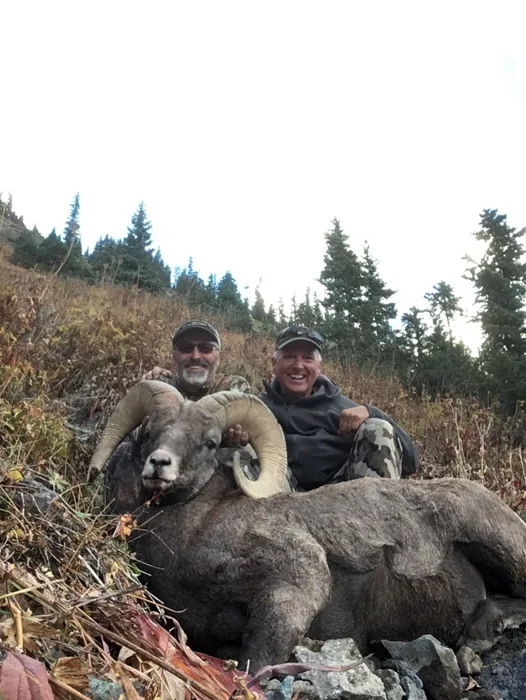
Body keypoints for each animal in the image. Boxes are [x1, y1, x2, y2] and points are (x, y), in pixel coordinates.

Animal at [89, 379, 526, 672]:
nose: (159, 465)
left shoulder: (295, 581)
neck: (193, 531)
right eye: (149, 432)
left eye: (210, 442)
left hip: (501, 548)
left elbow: (259, 659)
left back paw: (477, 638)